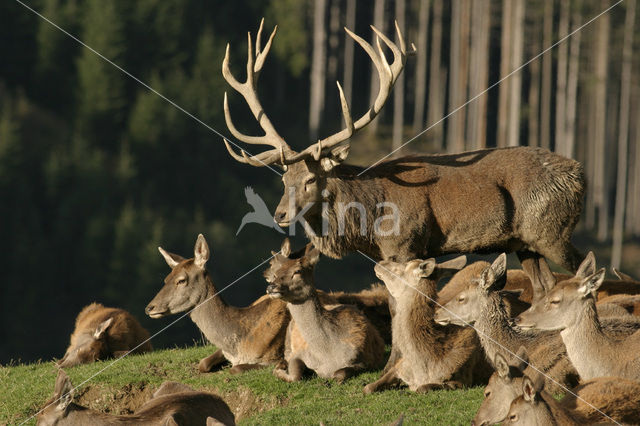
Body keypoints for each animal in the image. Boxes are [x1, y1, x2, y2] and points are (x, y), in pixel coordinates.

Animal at [146, 235, 288, 374]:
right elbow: (202, 363)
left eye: (181, 280)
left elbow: (236, 369)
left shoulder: (275, 358)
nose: (149, 308)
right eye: (166, 279)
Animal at [266, 241, 384, 384]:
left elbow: (339, 374)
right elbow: (295, 374)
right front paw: (279, 369)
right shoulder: (300, 354)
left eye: (297, 271)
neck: (327, 357)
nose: (271, 287)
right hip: (288, 335)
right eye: (276, 273)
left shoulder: (364, 360)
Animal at [362, 256, 488, 392]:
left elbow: (422, 388)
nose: (379, 263)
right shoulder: (400, 366)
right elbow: (368, 388)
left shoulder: (461, 381)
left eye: (404, 266)